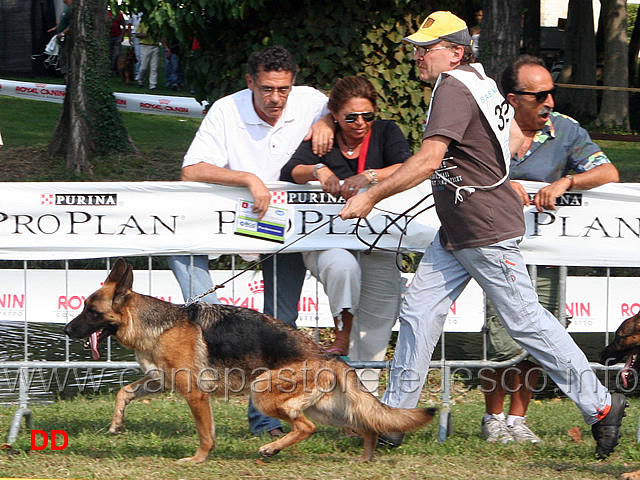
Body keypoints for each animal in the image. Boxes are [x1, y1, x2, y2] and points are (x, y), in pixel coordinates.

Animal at [63, 260, 436, 464]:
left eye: (91, 312)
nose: (67, 330)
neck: (156, 324)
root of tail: (328, 356)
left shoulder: (195, 395)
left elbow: (205, 434)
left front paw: (198, 459)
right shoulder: (159, 381)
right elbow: (123, 392)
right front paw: (116, 424)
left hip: (264, 393)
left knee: (306, 428)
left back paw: (271, 448)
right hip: (327, 410)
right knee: (365, 425)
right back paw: (365, 458)